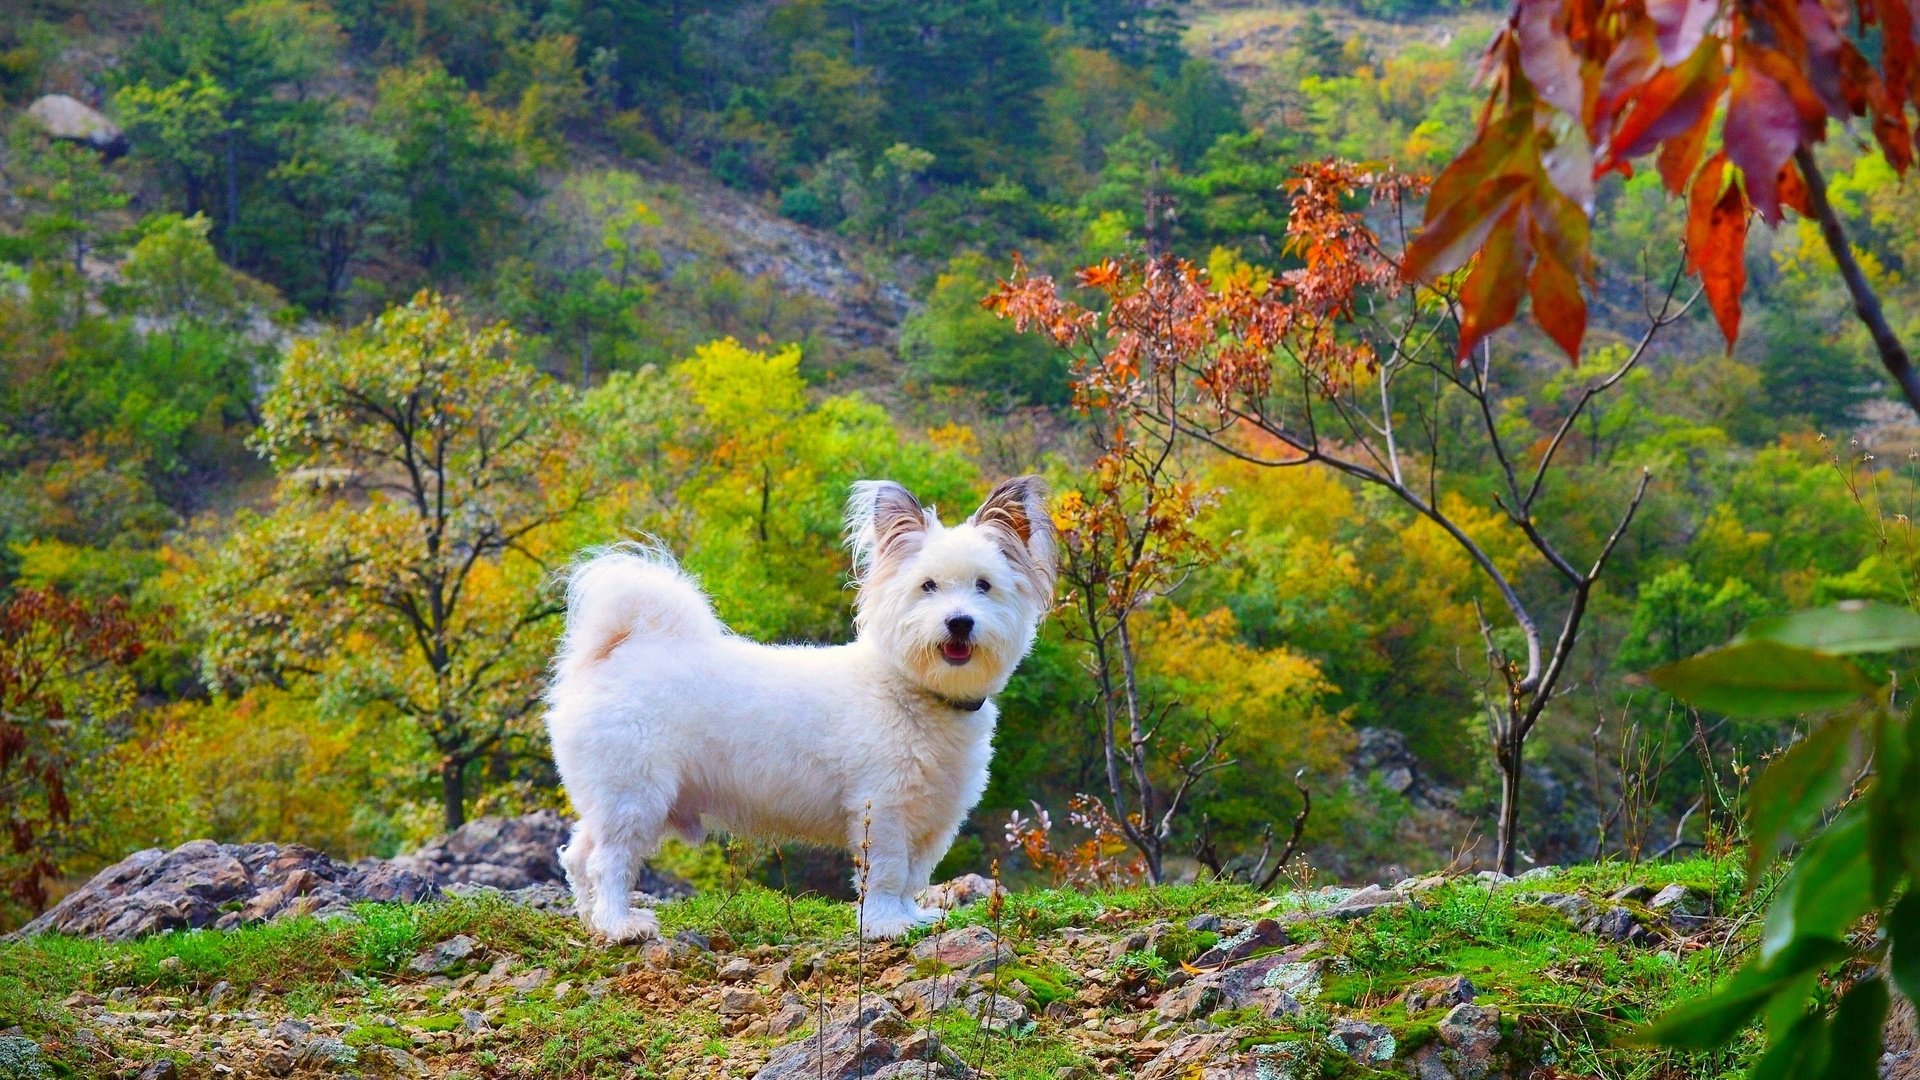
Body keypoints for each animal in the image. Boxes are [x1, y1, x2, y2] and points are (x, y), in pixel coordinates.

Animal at [545, 474, 1052, 937]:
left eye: (984, 586)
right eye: (927, 586)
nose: (960, 621)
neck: (912, 689)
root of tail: (616, 653)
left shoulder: (935, 818)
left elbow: (913, 876)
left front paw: (910, 917)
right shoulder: (882, 809)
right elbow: (888, 873)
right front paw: (885, 924)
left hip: (612, 797)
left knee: (579, 856)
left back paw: (592, 920)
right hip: (635, 795)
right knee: (609, 861)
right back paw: (619, 924)